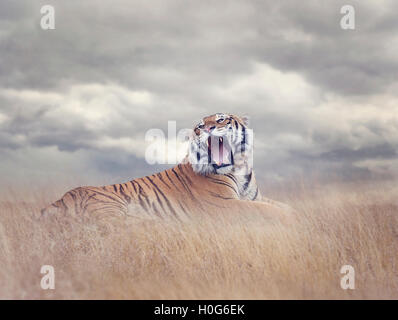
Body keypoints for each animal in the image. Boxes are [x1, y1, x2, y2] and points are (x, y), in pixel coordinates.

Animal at [42, 113, 294, 222]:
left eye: (221, 119)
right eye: (199, 126)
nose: (206, 129)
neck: (239, 169)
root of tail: (61, 198)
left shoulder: (254, 197)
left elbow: (283, 205)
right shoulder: (224, 204)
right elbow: (268, 211)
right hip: (110, 207)